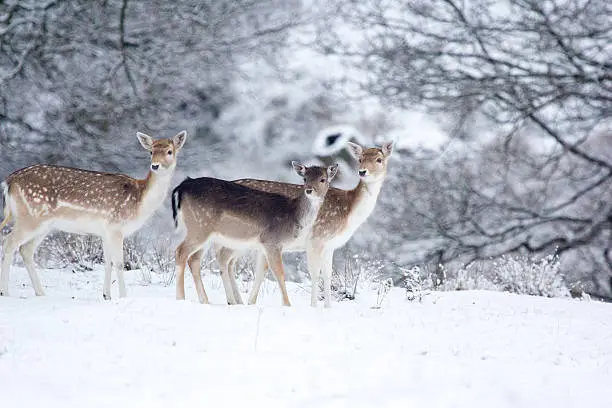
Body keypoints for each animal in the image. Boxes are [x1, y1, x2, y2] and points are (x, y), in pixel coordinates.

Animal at [0, 131, 186, 300]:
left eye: (169, 151)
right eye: (151, 152)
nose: (155, 166)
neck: (140, 202)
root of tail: (9, 181)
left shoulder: (106, 231)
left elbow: (107, 261)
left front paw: (106, 295)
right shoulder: (116, 227)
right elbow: (119, 263)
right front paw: (123, 296)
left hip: (44, 224)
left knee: (25, 249)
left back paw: (40, 293)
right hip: (30, 217)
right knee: (9, 242)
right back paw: (6, 292)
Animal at [171, 161, 340, 304]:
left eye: (323, 179)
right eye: (305, 178)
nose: (309, 190)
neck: (292, 216)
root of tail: (184, 185)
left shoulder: (265, 246)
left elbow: (262, 272)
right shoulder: (272, 241)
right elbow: (279, 273)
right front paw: (287, 305)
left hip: (206, 232)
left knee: (195, 259)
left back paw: (206, 300)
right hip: (200, 225)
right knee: (181, 251)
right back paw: (180, 298)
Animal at [218, 142, 394, 308]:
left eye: (379, 159)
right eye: (360, 159)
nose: (363, 172)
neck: (348, 213)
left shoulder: (330, 245)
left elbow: (328, 274)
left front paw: (328, 307)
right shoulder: (316, 239)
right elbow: (314, 273)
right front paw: (313, 306)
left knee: (231, 262)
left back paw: (239, 301)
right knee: (226, 259)